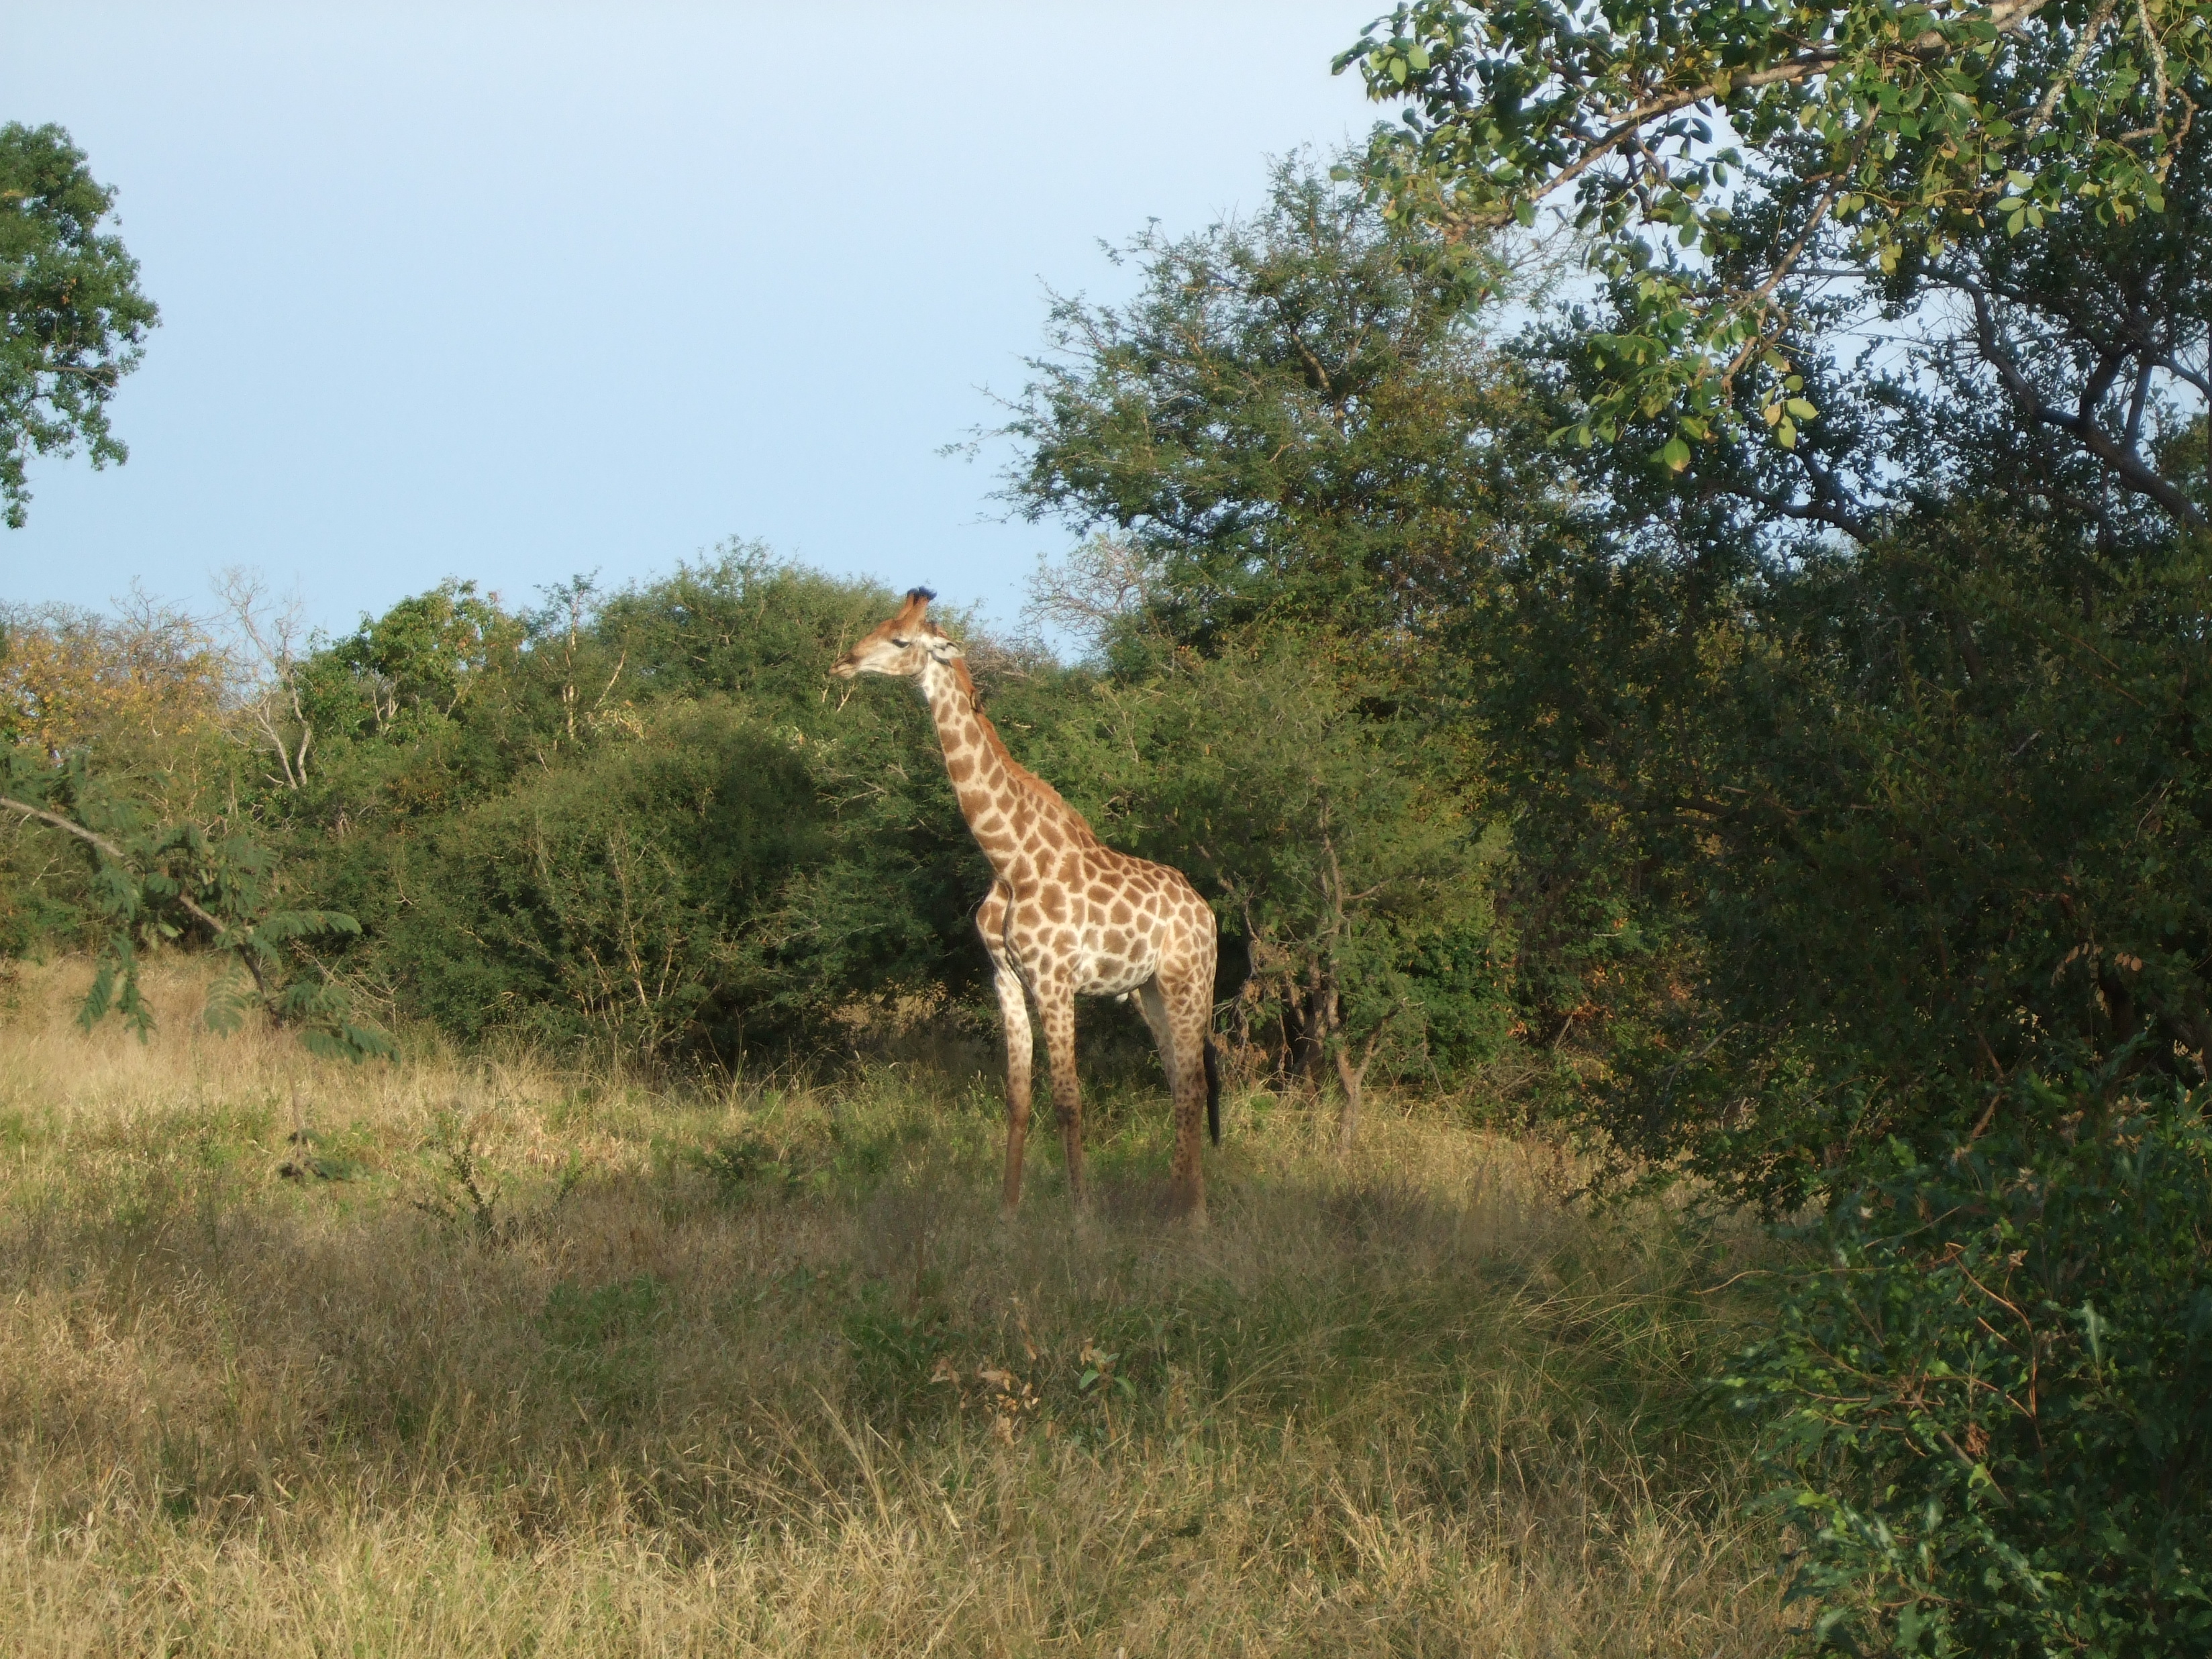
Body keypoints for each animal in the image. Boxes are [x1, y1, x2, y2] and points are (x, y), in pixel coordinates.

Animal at [832, 593, 1221, 1212]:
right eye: (881, 625)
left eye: (900, 640)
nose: (843, 662)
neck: (1008, 860)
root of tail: (1205, 910)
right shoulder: (1007, 978)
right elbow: (1017, 1098)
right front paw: (1007, 1214)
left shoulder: (1055, 980)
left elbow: (1068, 1101)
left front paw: (1081, 1216)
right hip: (1150, 991)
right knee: (1180, 1082)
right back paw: (1177, 1205)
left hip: (1190, 981)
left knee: (1193, 1085)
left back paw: (1193, 1218)